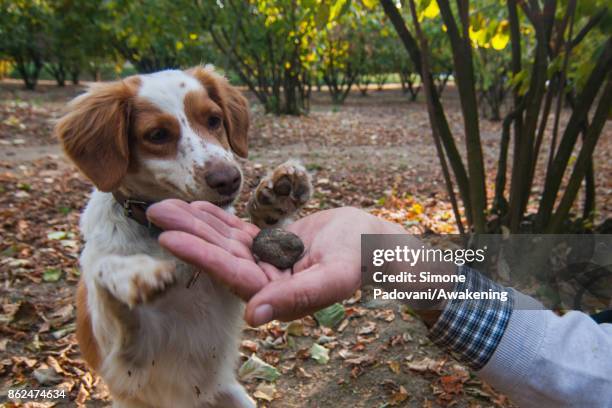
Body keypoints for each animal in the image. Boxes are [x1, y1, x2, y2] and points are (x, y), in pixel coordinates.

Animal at [53, 65, 310, 406]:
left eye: (214, 119)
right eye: (157, 135)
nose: (228, 179)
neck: (157, 229)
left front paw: (276, 197)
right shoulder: (126, 361)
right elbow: (101, 272)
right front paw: (134, 273)